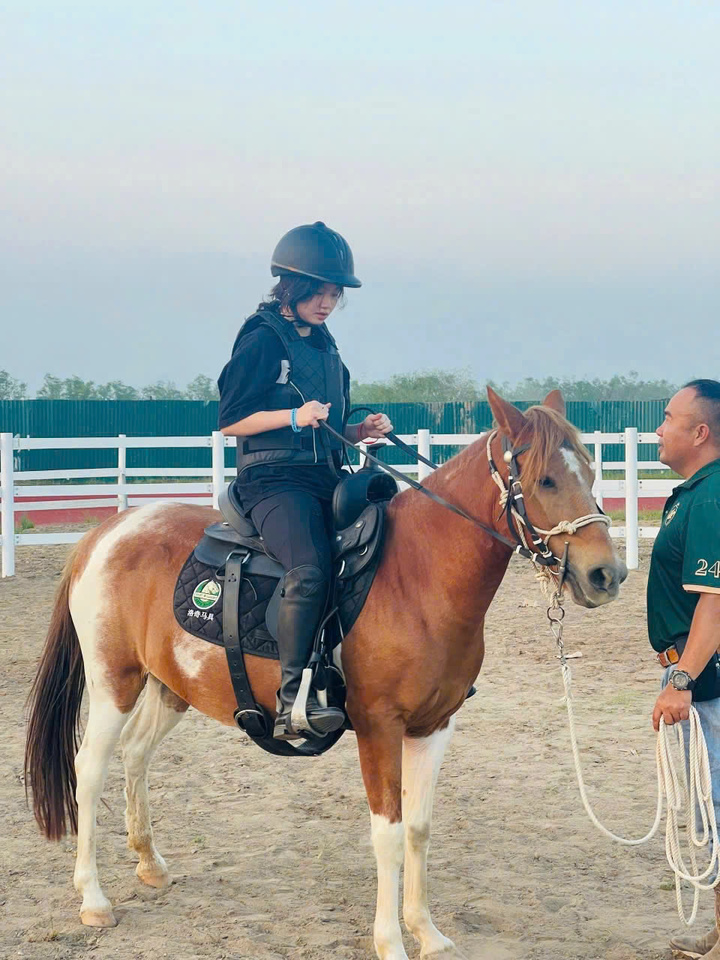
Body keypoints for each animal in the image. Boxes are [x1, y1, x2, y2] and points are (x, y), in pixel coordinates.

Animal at [25, 388, 626, 960]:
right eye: (545, 478)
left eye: (592, 472)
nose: (607, 574)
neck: (417, 575)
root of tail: (106, 532)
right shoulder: (379, 726)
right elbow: (388, 834)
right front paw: (391, 943)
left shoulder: (435, 725)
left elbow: (419, 828)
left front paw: (428, 934)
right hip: (114, 682)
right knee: (89, 767)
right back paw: (94, 898)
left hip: (170, 687)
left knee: (136, 755)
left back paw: (150, 863)